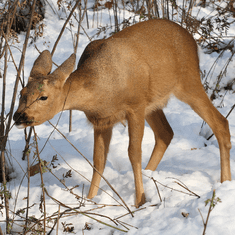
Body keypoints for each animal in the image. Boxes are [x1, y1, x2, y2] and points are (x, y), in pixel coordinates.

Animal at [13, 19, 231, 207]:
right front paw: (90, 200)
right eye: (21, 93)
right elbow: (98, 161)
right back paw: (150, 175)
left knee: (220, 122)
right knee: (166, 133)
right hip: (153, 103)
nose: (18, 117)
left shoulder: (135, 107)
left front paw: (139, 201)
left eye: (43, 97)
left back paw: (225, 182)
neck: (102, 87)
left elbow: (133, 153)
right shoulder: (102, 121)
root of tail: (191, 39)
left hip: (188, 81)